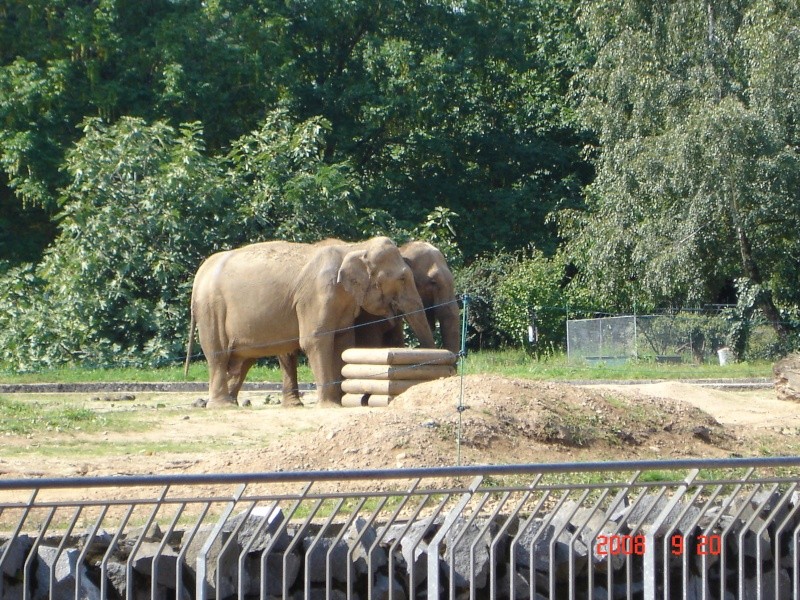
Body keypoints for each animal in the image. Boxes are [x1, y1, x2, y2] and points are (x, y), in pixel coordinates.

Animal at [184, 236, 434, 408]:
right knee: (218, 354)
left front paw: (338, 402)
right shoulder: (318, 294)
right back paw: (222, 405)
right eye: (403, 278)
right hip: (211, 309)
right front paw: (330, 406)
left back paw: (231, 402)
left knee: (241, 360)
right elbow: (316, 341)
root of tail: (200, 274)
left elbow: (342, 343)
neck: (353, 247)